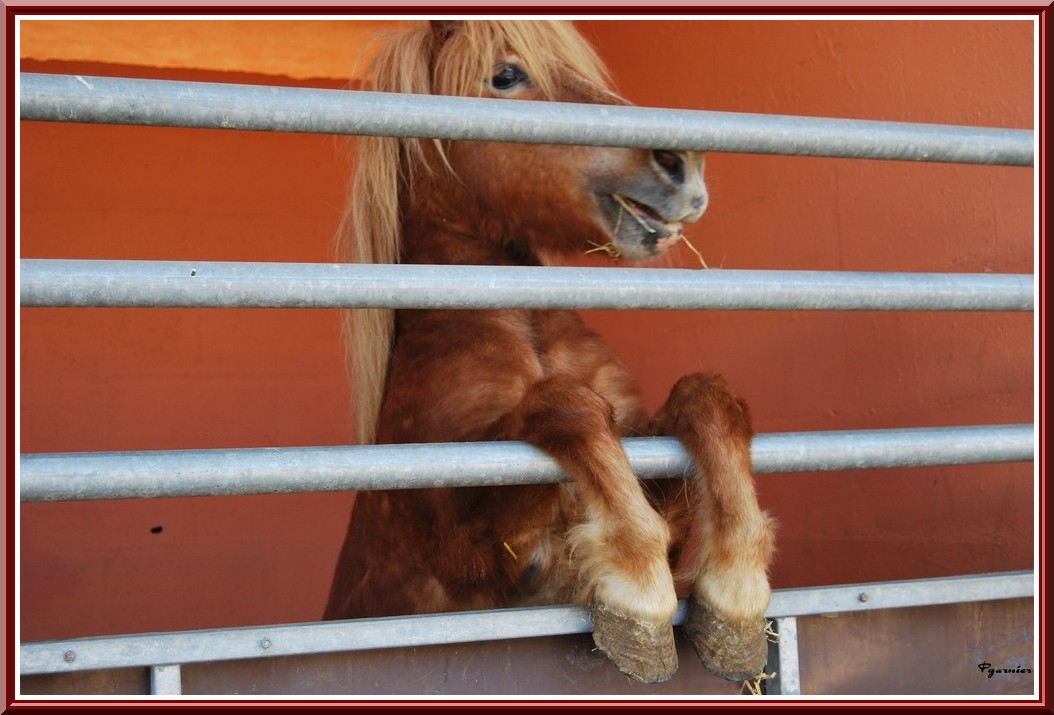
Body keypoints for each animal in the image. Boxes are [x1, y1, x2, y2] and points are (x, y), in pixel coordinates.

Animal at [320, 19, 775, 687]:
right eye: (507, 75)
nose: (682, 163)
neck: (525, 328)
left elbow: (708, 399)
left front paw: (736, 598)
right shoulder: (464, 549)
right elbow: (567, 406)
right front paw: (639, 599)